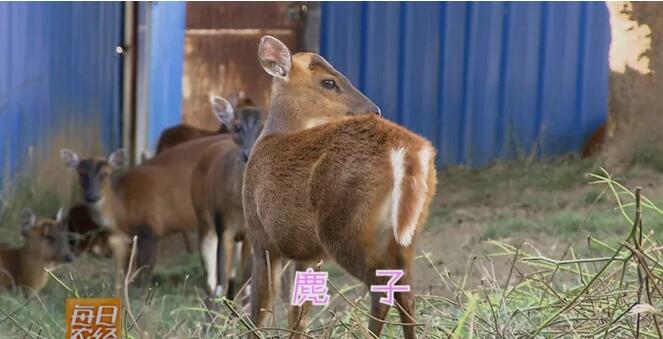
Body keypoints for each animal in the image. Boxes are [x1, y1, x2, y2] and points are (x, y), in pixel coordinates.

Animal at [62, 134, 230, 294]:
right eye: (81, 173)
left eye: (105, 174)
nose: (92, 196)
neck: (123, 208)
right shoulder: (125, 238)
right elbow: (124, 272)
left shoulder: (150, 228)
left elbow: (145, 270)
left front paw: (141, 296)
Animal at [189, 96, 264, 300]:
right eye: (237, 126)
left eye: (263, 125)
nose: (247, 153)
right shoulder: (223, 225)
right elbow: (219, 285)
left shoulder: (250, 235)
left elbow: (247, 286)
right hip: (205, 222)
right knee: (212, 281)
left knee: (231, 277)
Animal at [241, 35, 438, 338]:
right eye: (328, 82)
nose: (374, 109)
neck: (270, 138)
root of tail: (409, 152)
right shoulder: (308, 254)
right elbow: (297, 316)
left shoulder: (259, 235)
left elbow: (259, 312)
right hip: (406, 233)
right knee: (406, 290)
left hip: (344, 225)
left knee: (382, 288)